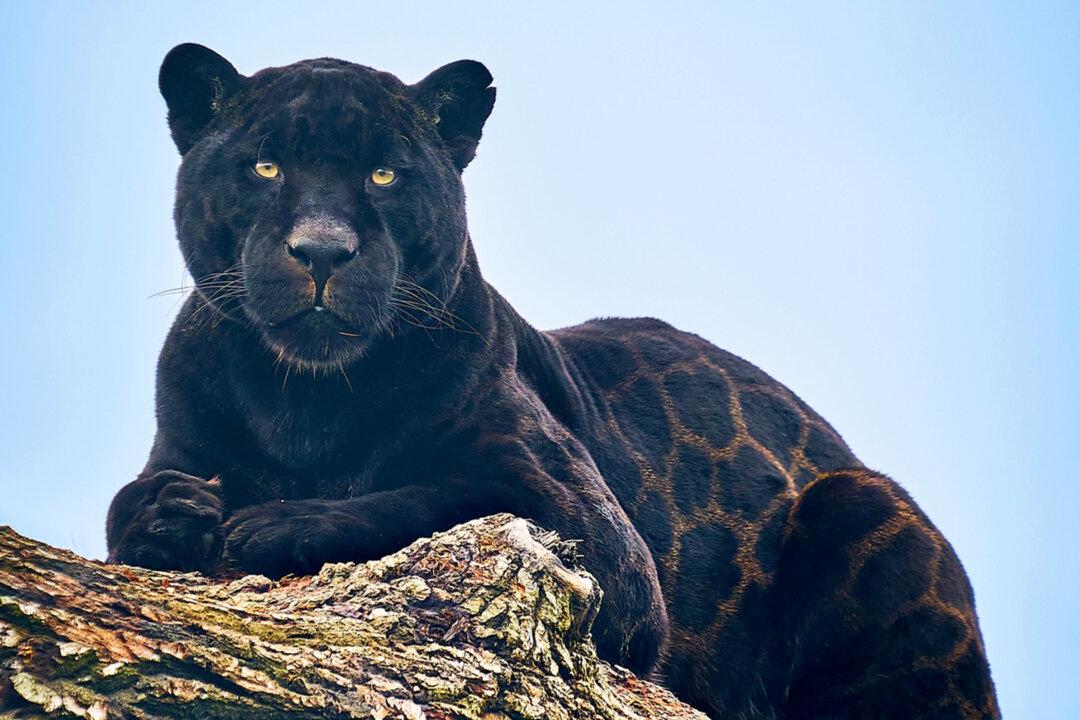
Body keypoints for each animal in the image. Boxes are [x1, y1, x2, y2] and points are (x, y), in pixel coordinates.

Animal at [107, 43, 999, 719]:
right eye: (264, 167)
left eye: (385, 177)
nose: (322, 249)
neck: (306, 407)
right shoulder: (181, 441)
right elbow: (126, 505)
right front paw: (174, 511)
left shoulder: (599, 545)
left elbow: (448, 498)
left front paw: (277, 523)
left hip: (863, 501)